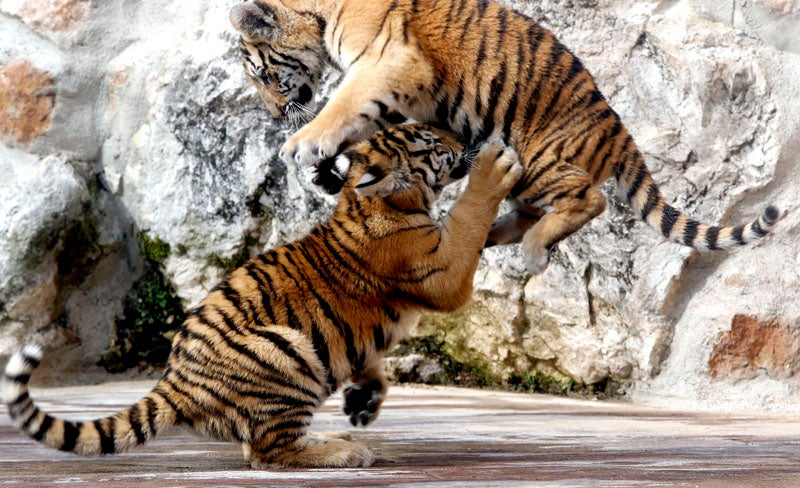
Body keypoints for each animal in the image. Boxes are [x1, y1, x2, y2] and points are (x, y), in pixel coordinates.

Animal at [1, 124, 523, 469]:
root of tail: (174, 383)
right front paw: (494, 166)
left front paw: (365, 397)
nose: (468, 142)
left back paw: (338, 434)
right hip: (286, 349)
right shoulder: (442, 268)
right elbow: (469, 217)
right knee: (268, 453)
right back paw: (343, 450)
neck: (366, 199)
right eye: (435, 146)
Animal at [230, 0, 782, 275]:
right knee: (529, 213)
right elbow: (365, 126)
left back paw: (532, 254)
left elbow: (343, 105)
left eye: (262, 74)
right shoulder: (396, 89)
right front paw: (327, 169)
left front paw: (301, 144)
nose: (274, 114)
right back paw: (480, 235)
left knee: (589, 201)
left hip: (541, 161)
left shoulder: (389, 62)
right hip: (525, 171)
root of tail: (618, 128)